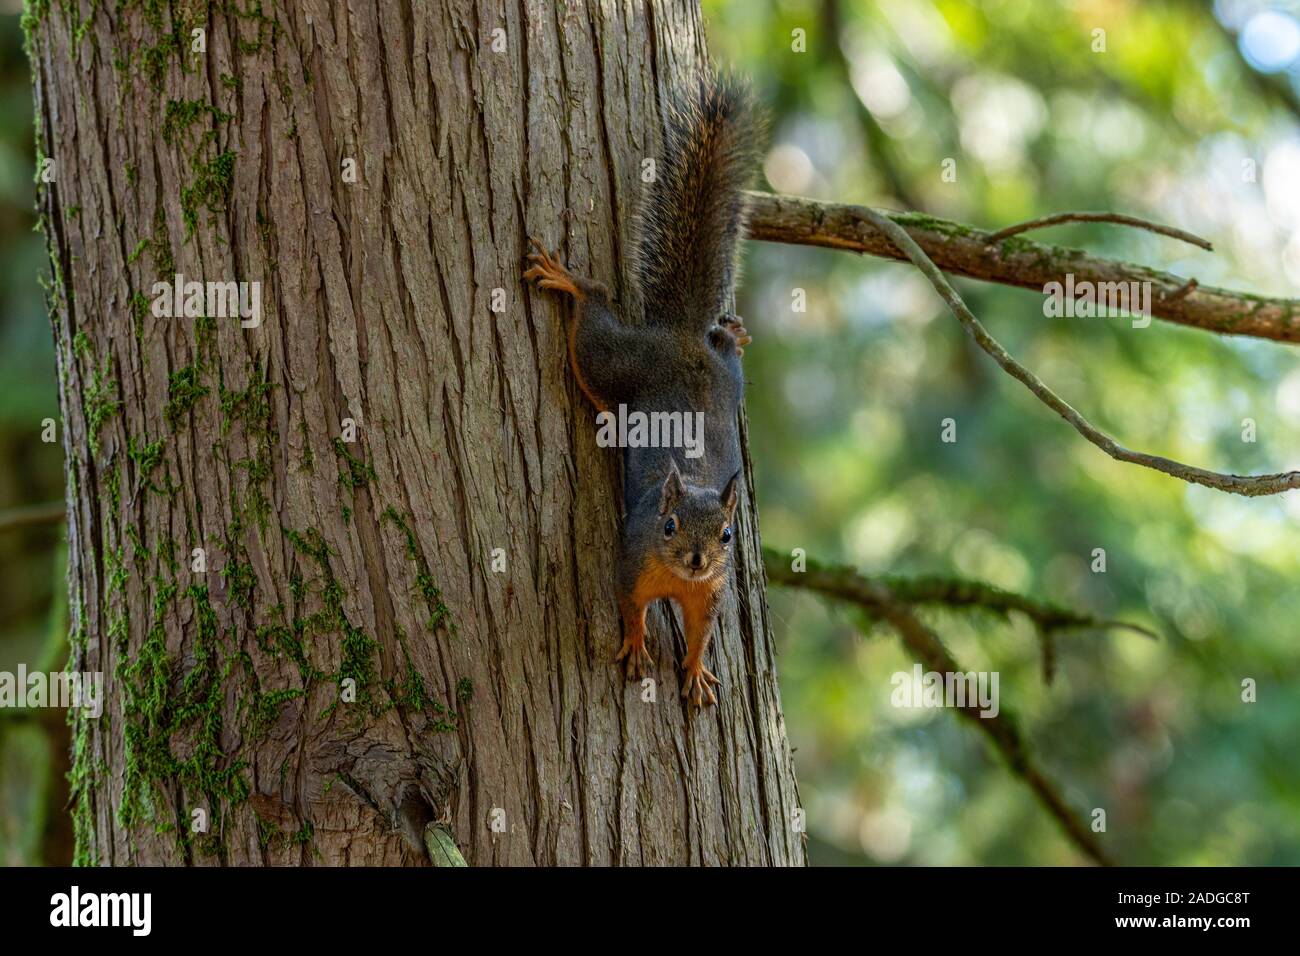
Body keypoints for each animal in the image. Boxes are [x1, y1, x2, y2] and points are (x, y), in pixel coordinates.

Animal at [522, 70, 759, 707]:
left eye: (728, 534)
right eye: (668, 526)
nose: (699, 559)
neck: (678, 578)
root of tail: (679, 336)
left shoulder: (710, 596)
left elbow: (701, 634)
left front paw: (696, 671)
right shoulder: (631, 562)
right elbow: (629, 606)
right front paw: (633, 645)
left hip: (727, 383)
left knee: (724, 352)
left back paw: (732, 333)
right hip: (612, 365)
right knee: (596, 313)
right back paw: (570, 281)